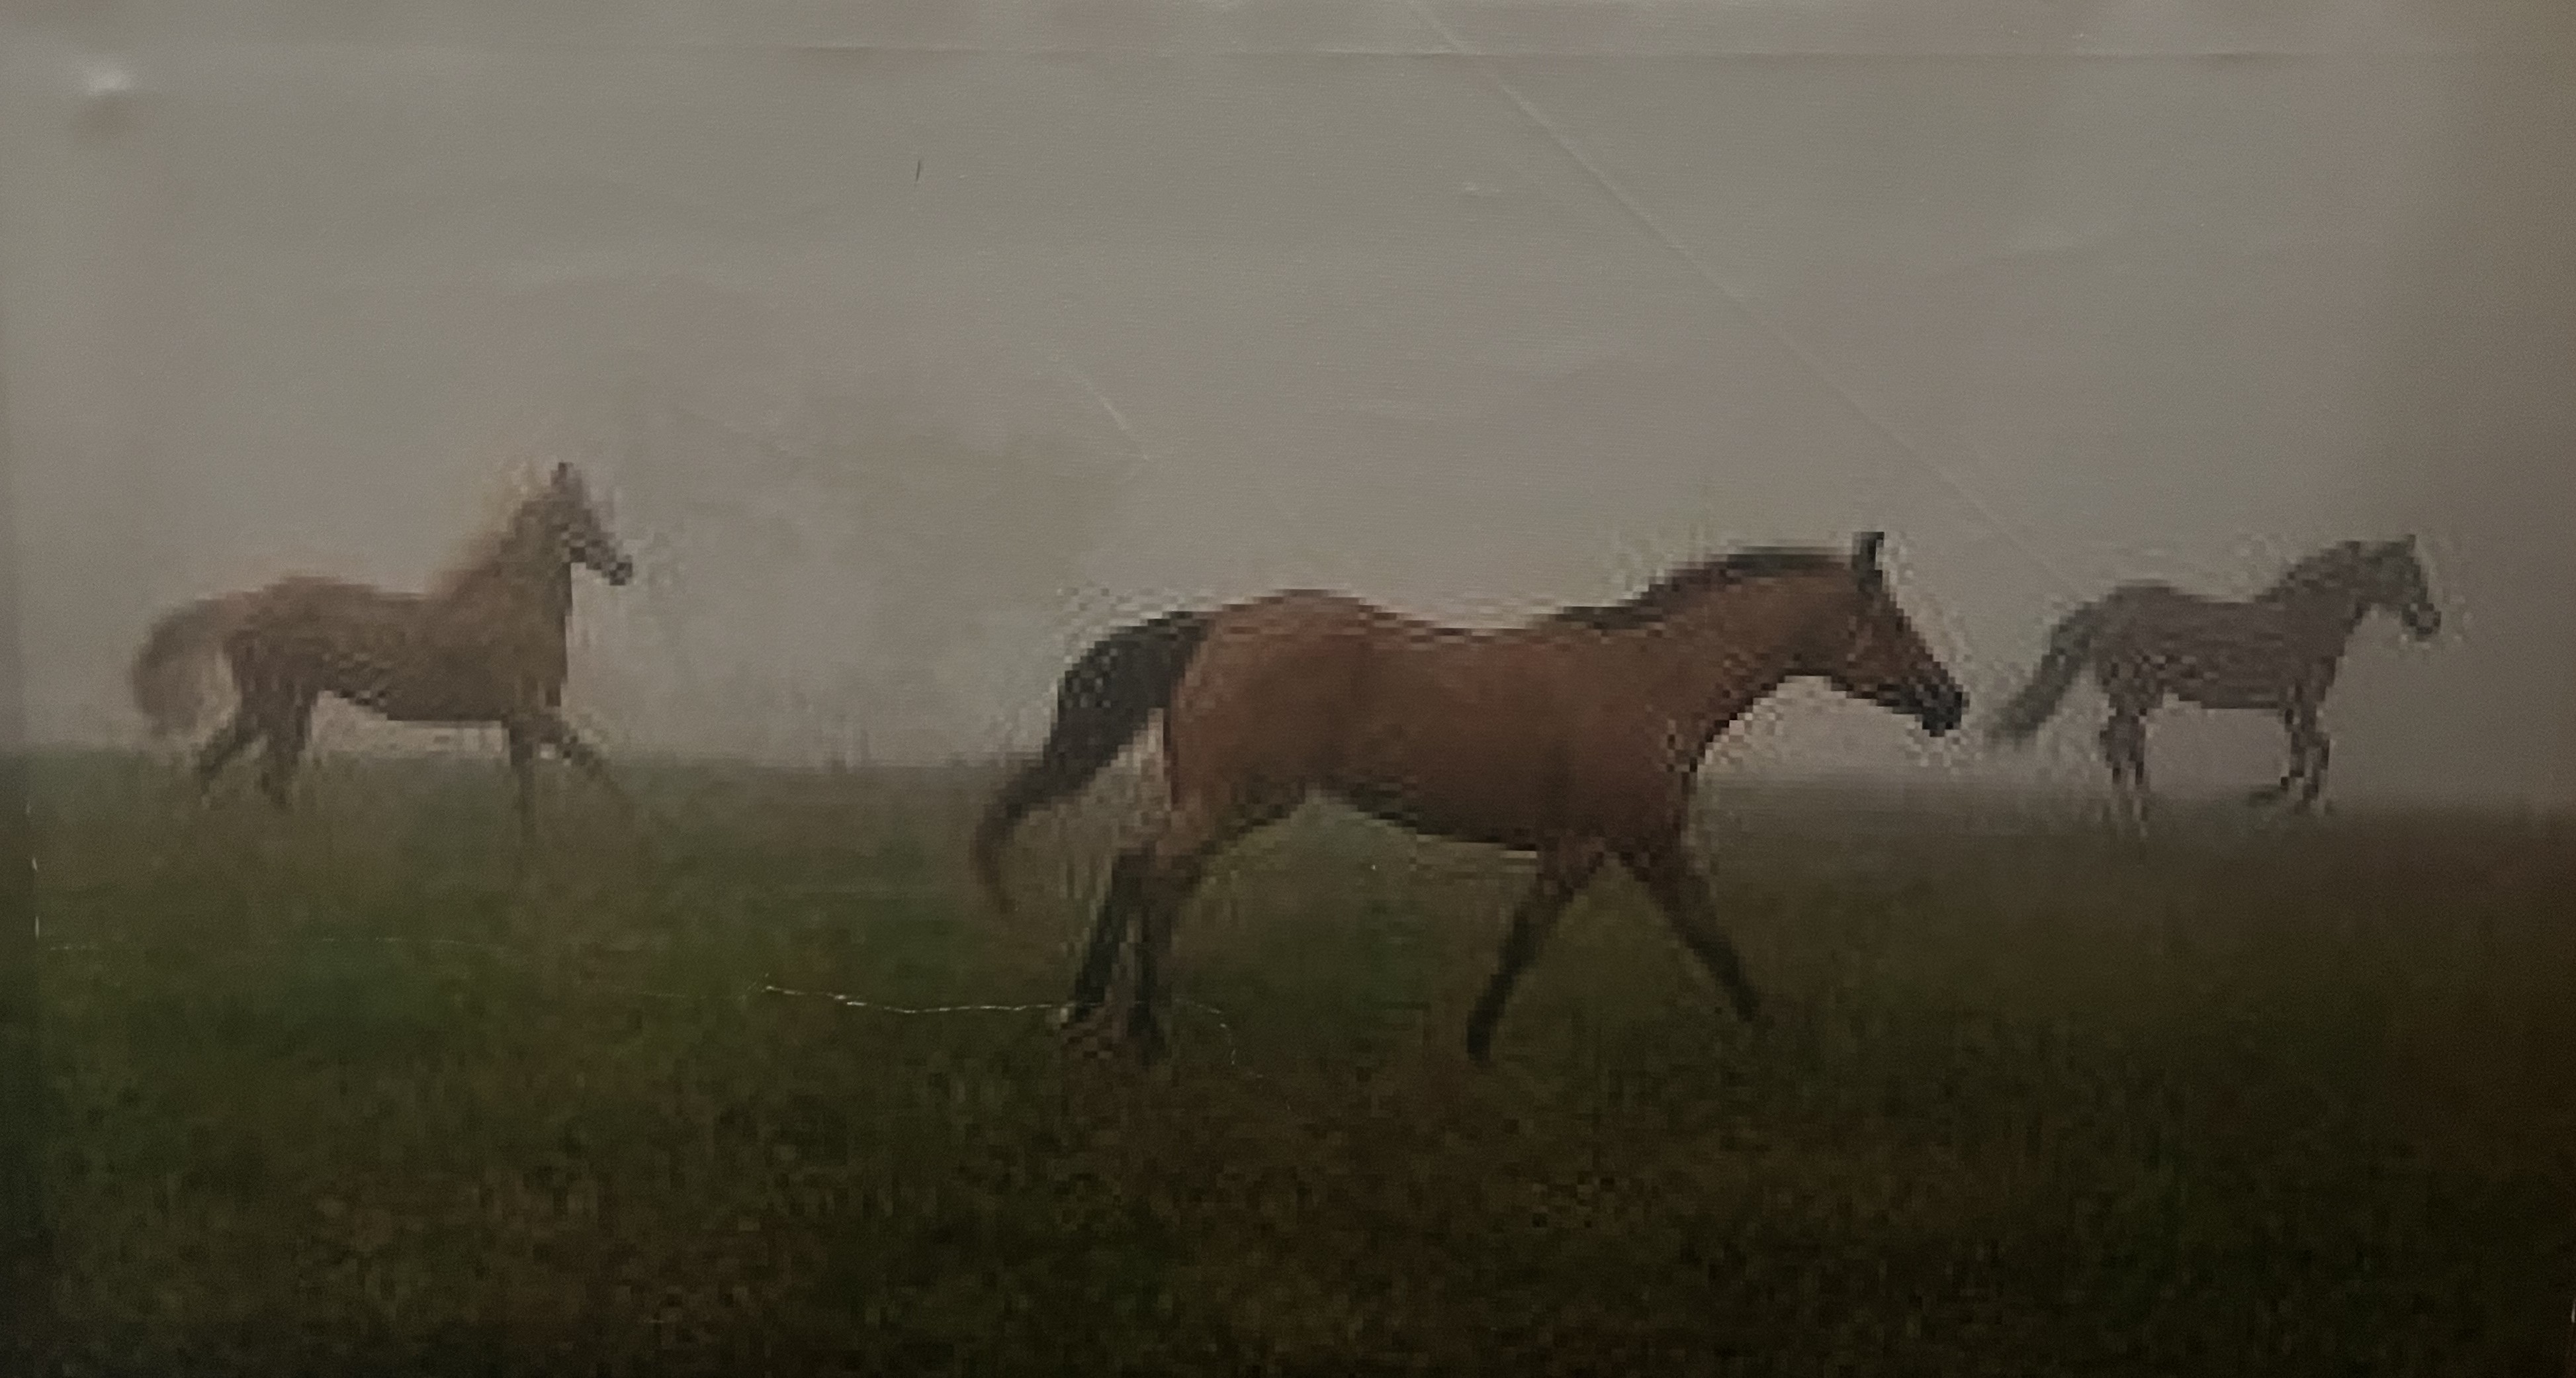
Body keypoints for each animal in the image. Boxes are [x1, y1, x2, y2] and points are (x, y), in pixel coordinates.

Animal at [128, 461, 635, 835]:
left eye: (596, 514)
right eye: (577, 517)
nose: (623, 569)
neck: (515, 610)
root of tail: (248, 604)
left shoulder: (519, 722)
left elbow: (530, 795)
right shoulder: (532, 715)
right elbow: (593, 768)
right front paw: (632, 828)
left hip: (289, 704)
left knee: (251, 771)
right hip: (273, 704)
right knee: (246, 768)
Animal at [973, 531, 1968, 1065]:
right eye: (1890, 619)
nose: (1949, 703)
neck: (1652, 680)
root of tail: (1214, 625)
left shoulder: (1627, 843)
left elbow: (1686, 936)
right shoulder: (1610, 841)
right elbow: (1574, 938)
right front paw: (1478, 1046)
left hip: (1218, 798)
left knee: (1145, 870)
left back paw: (1092, 1013)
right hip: (1238, 798)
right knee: (1154, 873)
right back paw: (1139, 1031)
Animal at [1987, 537, 2440, 822]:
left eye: (2417, 572)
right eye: (2403, 574)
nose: (2430, 623)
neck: (2305, 620)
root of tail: (2105, 608)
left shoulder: (2290, 705)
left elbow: (2301, 749)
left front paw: (2278, 798)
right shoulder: (2304, 700)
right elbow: (2319, 747)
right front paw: (2291, 803)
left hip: (2141, 695)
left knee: (2124, 739)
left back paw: (2144, 801)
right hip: (2137, 693)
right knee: (2115, 739)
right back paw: (2135, 808)